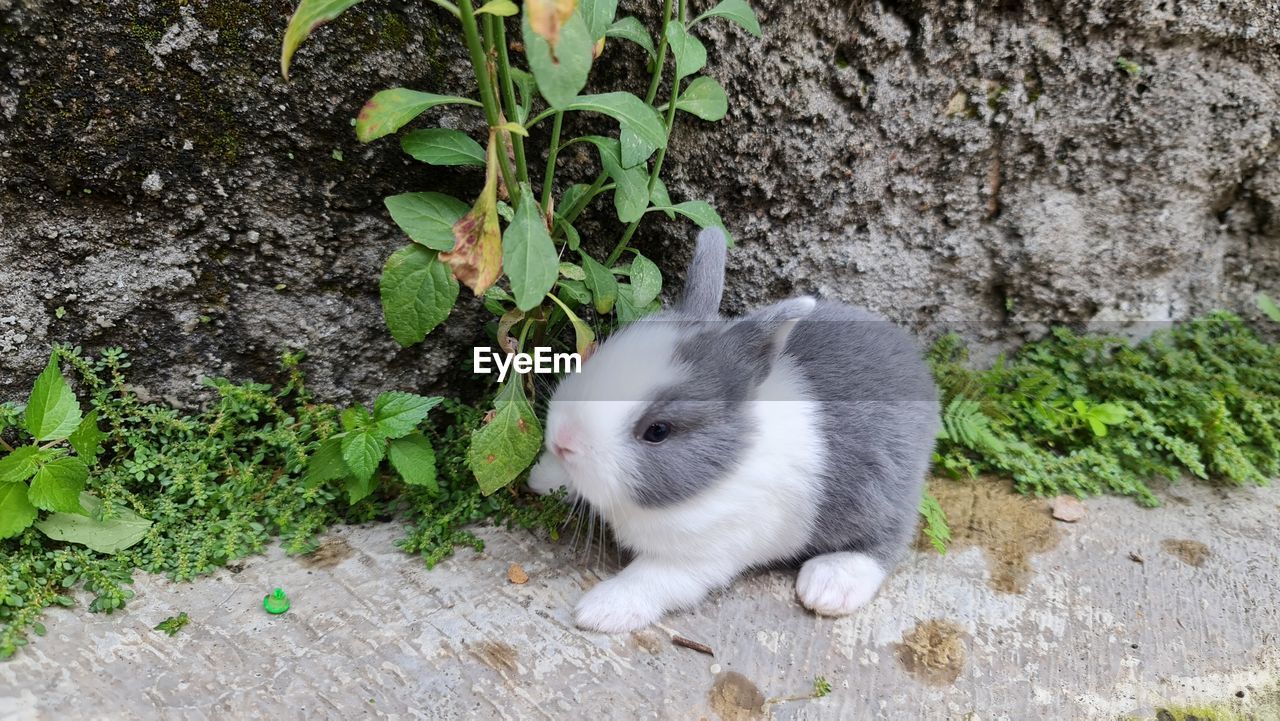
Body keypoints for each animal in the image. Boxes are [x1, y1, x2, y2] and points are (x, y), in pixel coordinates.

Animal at [529, 227, 942, 635]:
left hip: (882, 489)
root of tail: (918, 369)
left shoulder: (701, 556)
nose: (562, 440)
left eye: (658, 431)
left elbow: (649, 581)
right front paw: (542, 477)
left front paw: (599, 611)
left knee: (889, 535)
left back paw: (829, 586)